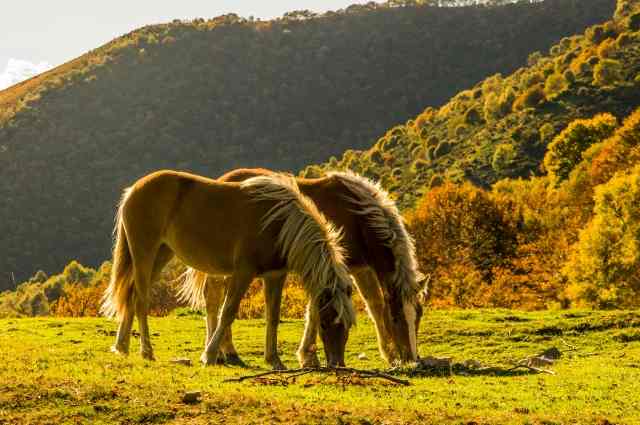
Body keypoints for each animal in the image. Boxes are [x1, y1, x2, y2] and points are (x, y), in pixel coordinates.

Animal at [101, 170, 356, 366]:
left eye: (347, 326)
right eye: (326, 322)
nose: (337, 364)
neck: (278, 222)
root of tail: (134, 189)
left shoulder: (275, 276)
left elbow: (272, 316)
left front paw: (274, 360)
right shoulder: (243, 273)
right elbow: (228, 312)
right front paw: (210, 355)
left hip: (161, 255)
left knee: (131, 296)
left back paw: (122, 347)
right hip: (144, 253)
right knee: (141, 300)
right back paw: (146, 351)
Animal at [180, 168, 426, 369]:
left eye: (418, 317)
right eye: (396, 317)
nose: (412, 359)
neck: (356, 216)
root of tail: (223, 179)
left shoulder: (360, 268)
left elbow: (374, 304)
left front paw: (389, 354)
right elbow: (315, 310)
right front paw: (308, 356)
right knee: (215, 300)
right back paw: (225, 352)